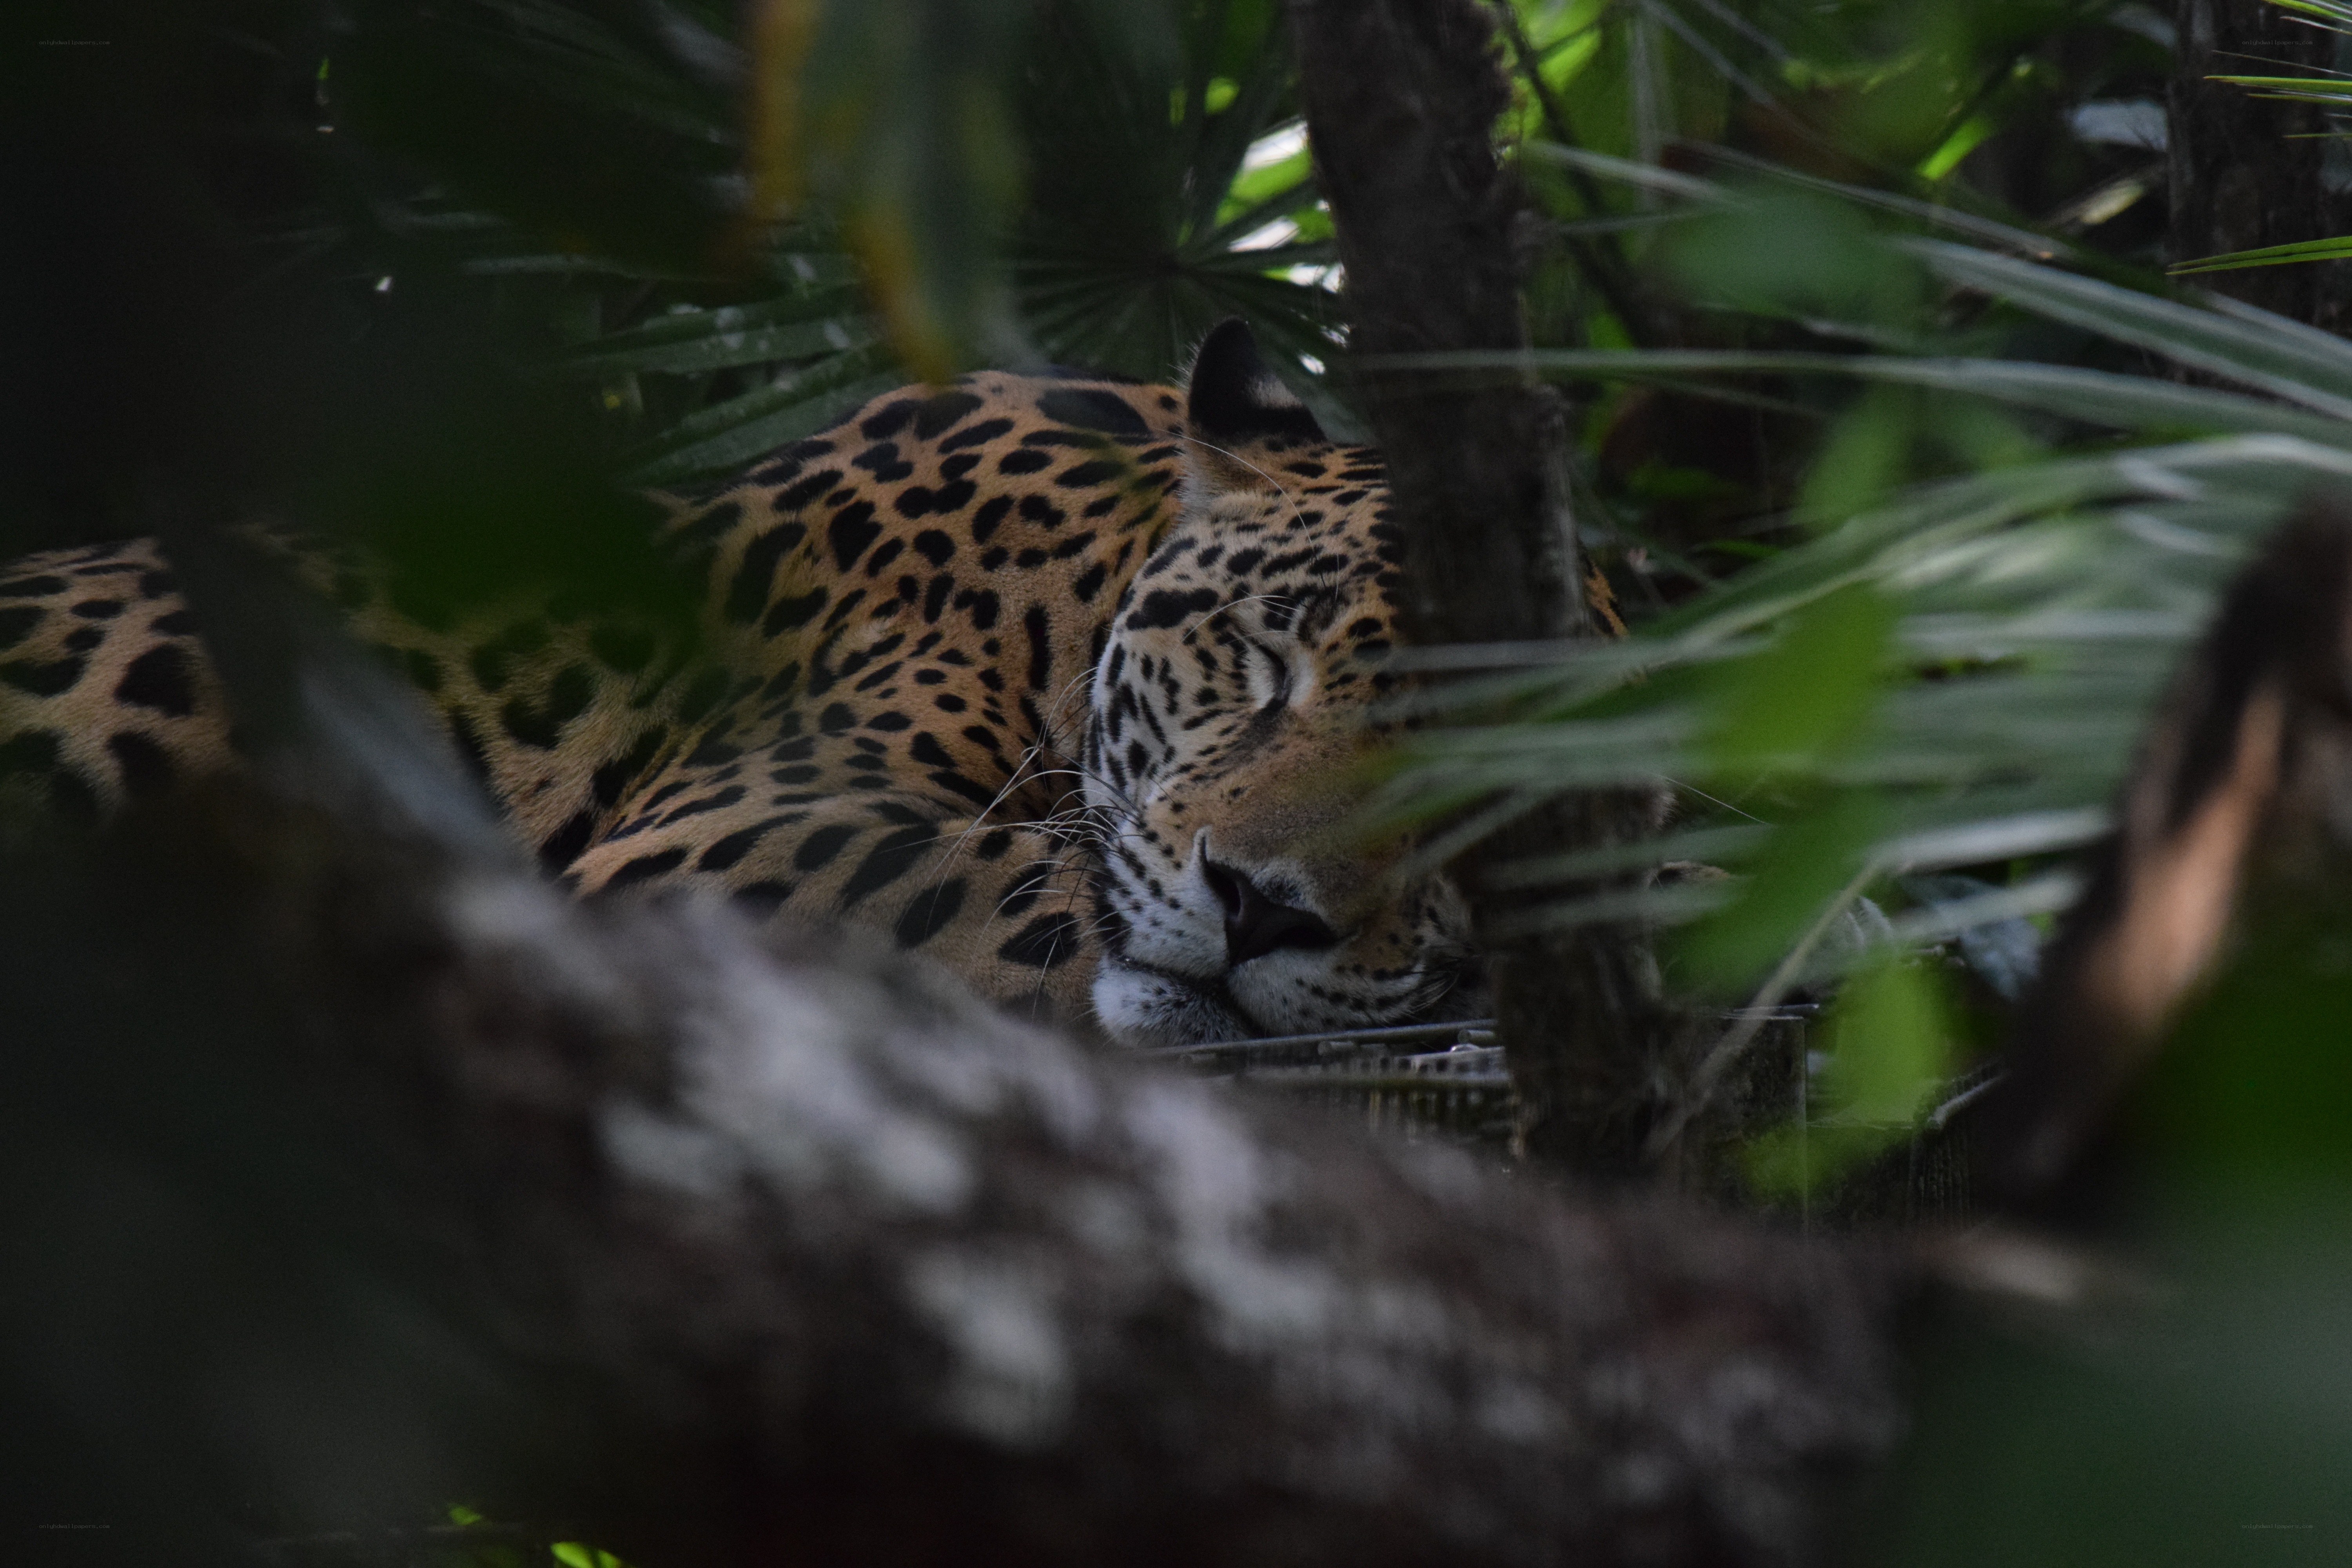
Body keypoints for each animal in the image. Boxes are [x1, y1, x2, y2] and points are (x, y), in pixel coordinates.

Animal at [0, 319, 1482, 1046]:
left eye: (1482, 810)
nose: (1261, 915)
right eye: (1263, 657)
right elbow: (1031, 896)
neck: (1066, 587)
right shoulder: (735, 836)